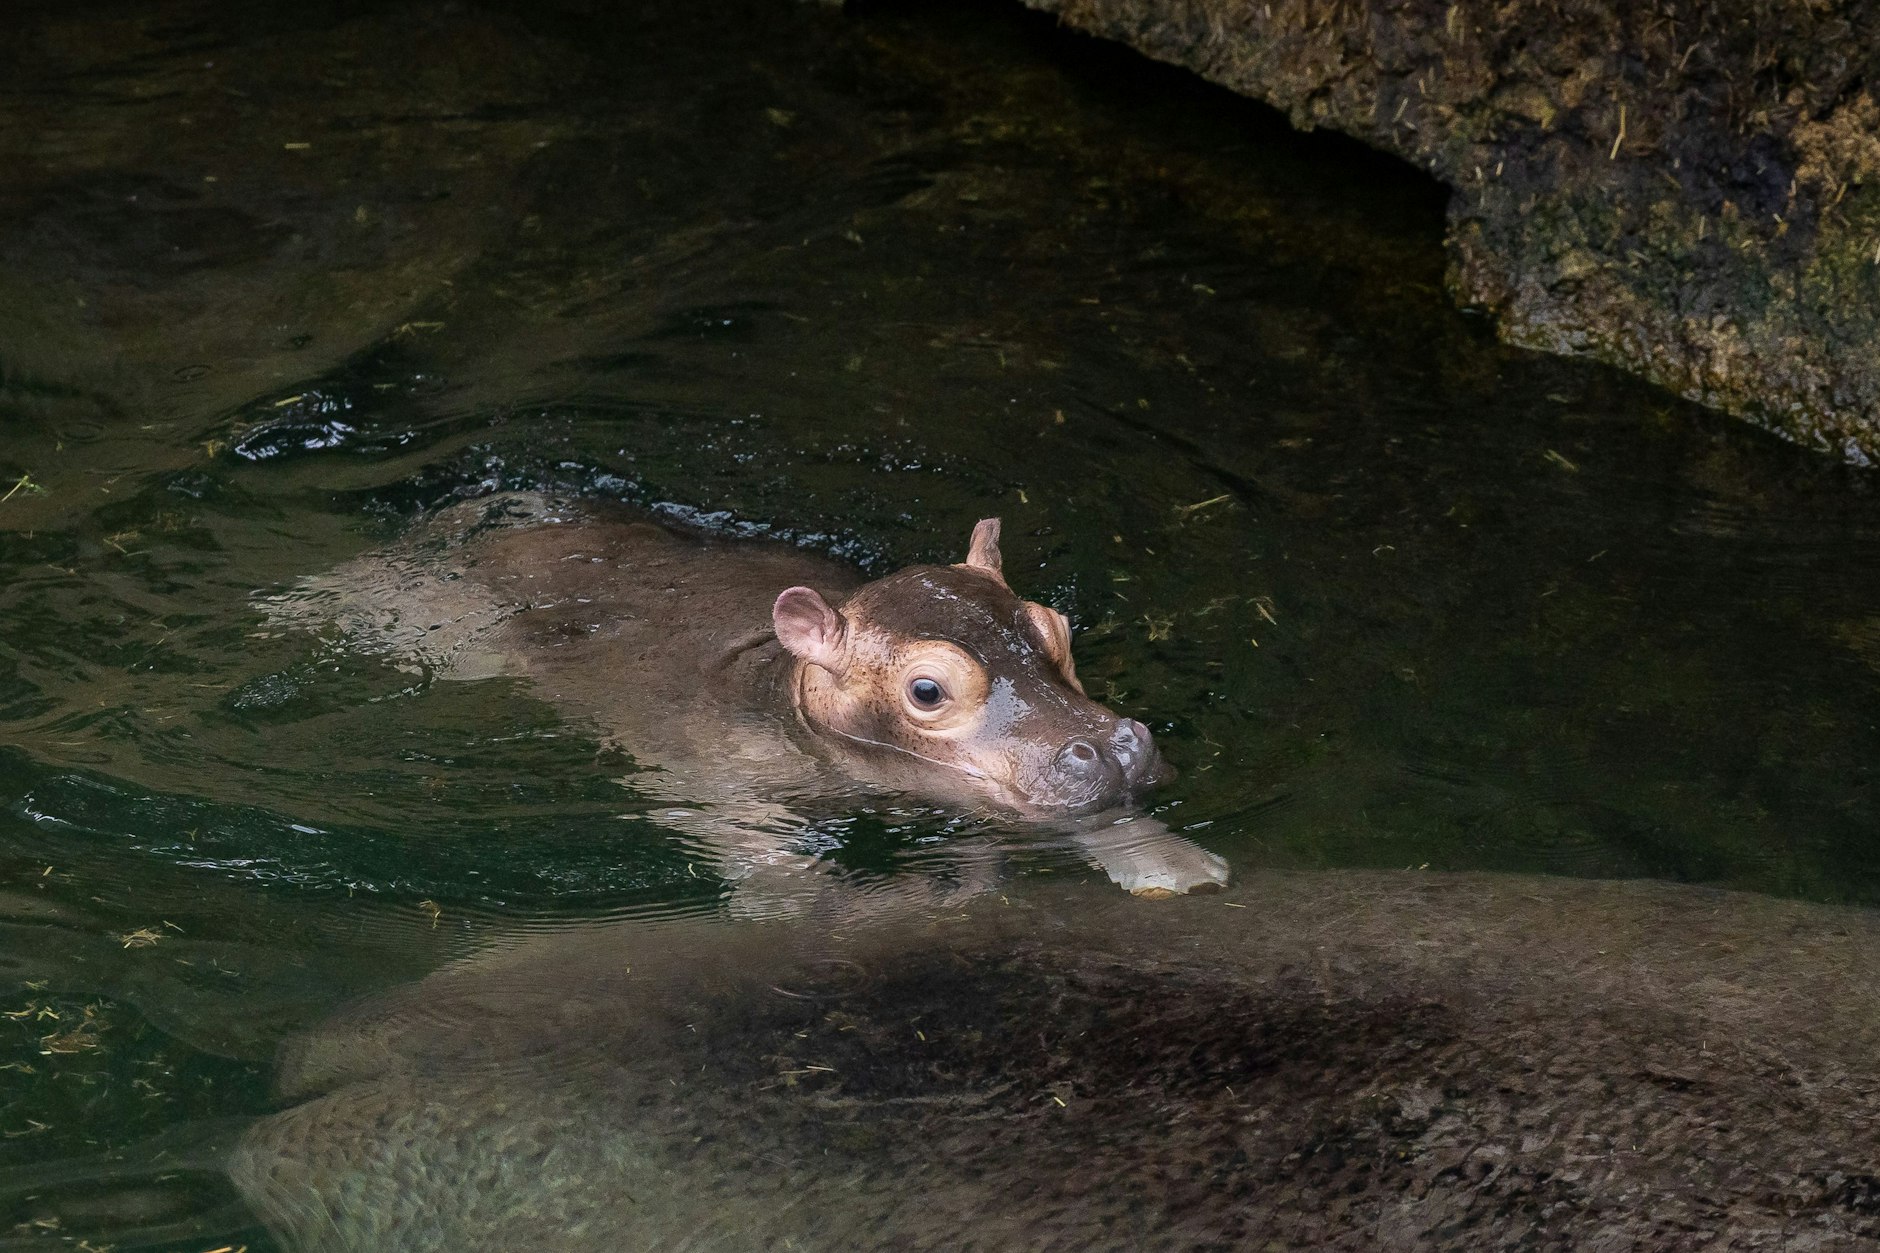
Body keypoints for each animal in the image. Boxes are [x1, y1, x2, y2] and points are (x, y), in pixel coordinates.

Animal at [267, 493, 1228, 899]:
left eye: (1057, 628)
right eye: (927, 689)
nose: (1111, 746)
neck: (782, 683)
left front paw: (1181, 870)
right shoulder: (714, 782)